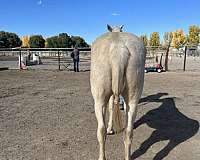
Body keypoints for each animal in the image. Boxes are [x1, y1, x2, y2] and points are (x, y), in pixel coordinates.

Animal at [90, 25, 145, 160]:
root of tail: (118, 48)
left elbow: (110, 108)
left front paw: (110, 129)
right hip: (133, 100)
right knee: (129, 131)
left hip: (99, 101)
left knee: (101, 130)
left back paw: (102, 157)